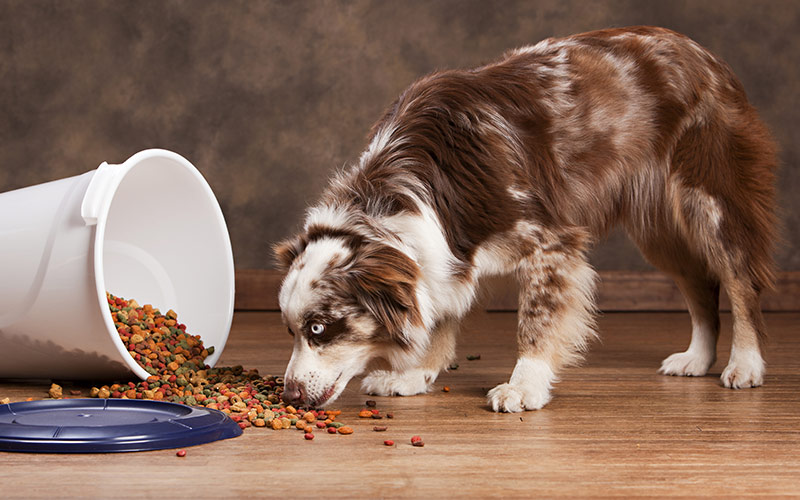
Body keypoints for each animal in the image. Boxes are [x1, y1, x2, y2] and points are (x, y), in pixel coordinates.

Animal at [274, 25, 776, 412]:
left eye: (319, 328)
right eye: (290, 330)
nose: (289, 396)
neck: (400, 196)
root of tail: (704, 53)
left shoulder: (551, 244)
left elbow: (534, 322)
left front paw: (523, 386)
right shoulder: (443, 255)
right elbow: (439, 314)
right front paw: (415, 375)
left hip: (710, 203)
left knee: (739, 281)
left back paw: (745, 364)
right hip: (658, 232)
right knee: (701, 285)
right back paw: (697, 359)